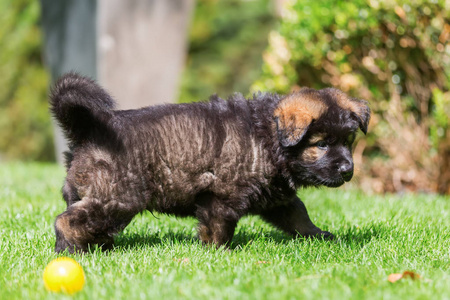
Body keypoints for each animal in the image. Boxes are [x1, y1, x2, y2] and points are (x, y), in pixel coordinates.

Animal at [51, 72, 370, 253]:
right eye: (322, 144)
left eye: (348, 141)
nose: (348, 170)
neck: (268, 137)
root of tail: (88, 129)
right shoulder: (221, 197)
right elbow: (219, 228)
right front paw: (219, 255)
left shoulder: (276, 197)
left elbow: (298, 215)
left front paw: (320, 236)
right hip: (116, 197)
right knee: (67, 221)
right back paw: (73, 251)